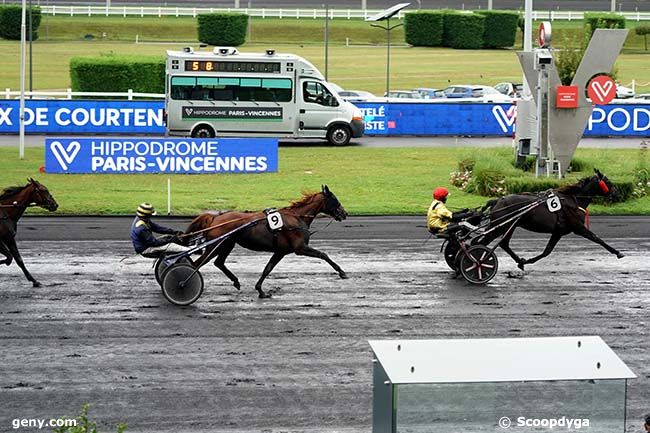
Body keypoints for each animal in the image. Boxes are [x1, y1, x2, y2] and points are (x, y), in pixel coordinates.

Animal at [476, 169, 624, 270]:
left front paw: (525, 262)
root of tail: (497, 201)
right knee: (480, 242)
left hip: (509, 226)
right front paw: (617, 252)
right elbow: (597, 238)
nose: (617, 194)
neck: (573, 200)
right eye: (608, 182)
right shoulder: (578, 227)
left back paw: (519, 261)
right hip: (500, 226)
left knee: (503, 243)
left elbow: (546, 251)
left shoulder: (558, 231)